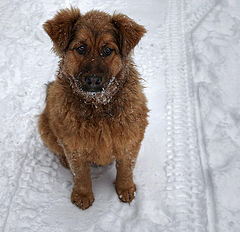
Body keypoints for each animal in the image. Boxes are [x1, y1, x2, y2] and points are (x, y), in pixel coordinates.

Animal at [38, 7, 148, 210]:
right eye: (81, 48)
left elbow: (126, 168)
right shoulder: (74, 145)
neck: (97, 106)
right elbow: (80, 174)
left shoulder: (130, 139)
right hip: (45, 126)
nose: (93, 80)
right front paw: (83, 195)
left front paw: (126, 189)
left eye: (107, 50)